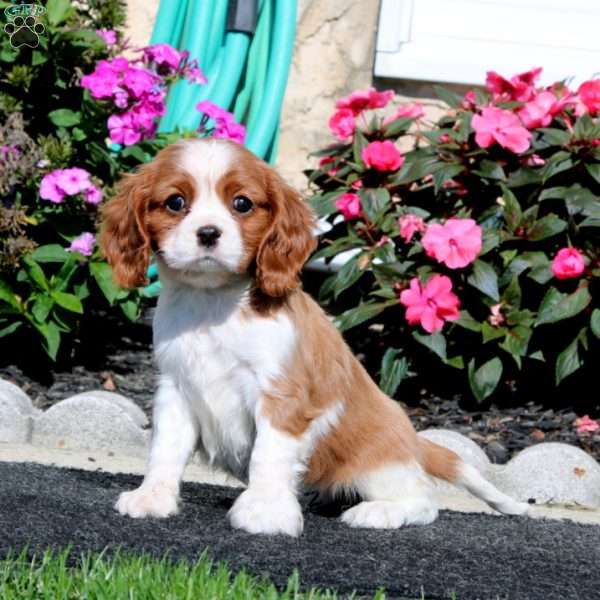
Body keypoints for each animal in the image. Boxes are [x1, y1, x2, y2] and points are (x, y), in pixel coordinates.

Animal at [101, 138, 528, 536]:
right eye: (175, 202)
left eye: (242, 204)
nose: (208, 233)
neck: (213, 302)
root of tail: (414, 440)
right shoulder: (176, 387)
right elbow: (166, 448)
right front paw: (153, 497)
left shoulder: (281, 394)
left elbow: (268, 455)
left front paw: (266, 511)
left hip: (375, 465)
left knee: (423, 501)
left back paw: (378, 512)